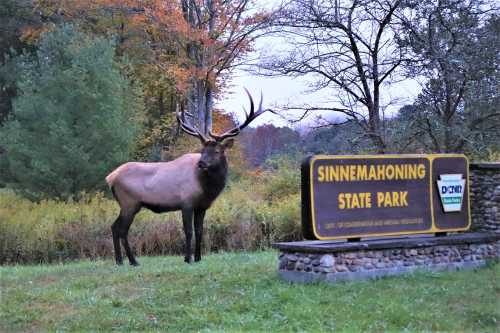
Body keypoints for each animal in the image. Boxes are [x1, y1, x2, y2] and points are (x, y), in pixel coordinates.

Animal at [105, 89, 268, 264]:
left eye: (217, 151)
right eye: (202, 150)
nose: (201, 163)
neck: (207, 189)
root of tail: (110, 177)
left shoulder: (202, 206)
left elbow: (200, 230)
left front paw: (198, 258)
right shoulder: (186, 203)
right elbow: (188, 231)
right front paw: (187, 258)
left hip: (127, 205)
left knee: (114, 227)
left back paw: (120, 261)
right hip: (130, 203)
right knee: (122, 230)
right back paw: (133, 261)